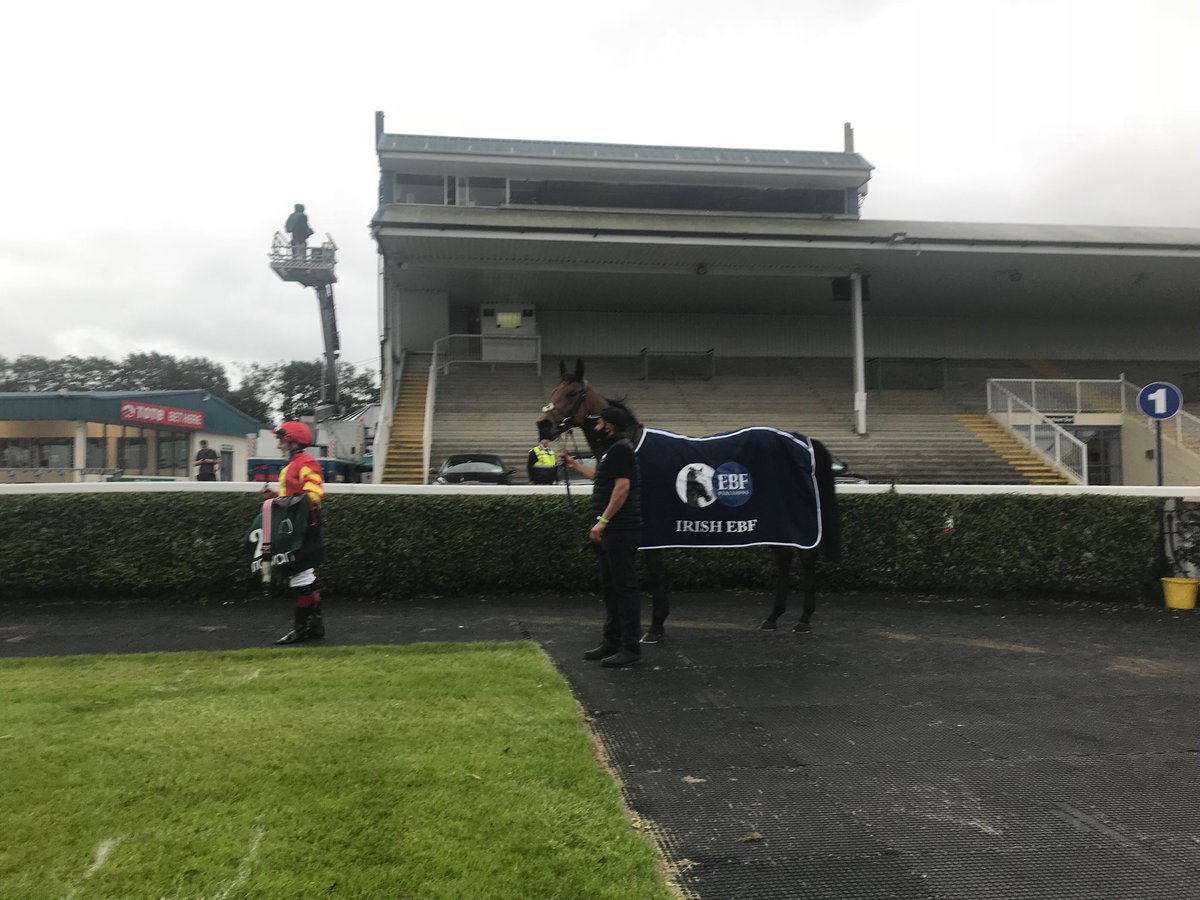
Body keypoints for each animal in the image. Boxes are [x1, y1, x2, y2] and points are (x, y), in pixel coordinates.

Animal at [540, 360, 840, 643]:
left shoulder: (652, 531)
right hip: (776, 521)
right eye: (554, 390)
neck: (631, 444)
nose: (544, 425)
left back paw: (804, 619)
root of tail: (801, 440)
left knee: (806, 558)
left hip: (796, 520)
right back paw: (773, 617)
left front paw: (656, 627)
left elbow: (656, 573)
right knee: (784, 559)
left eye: (572, 392)